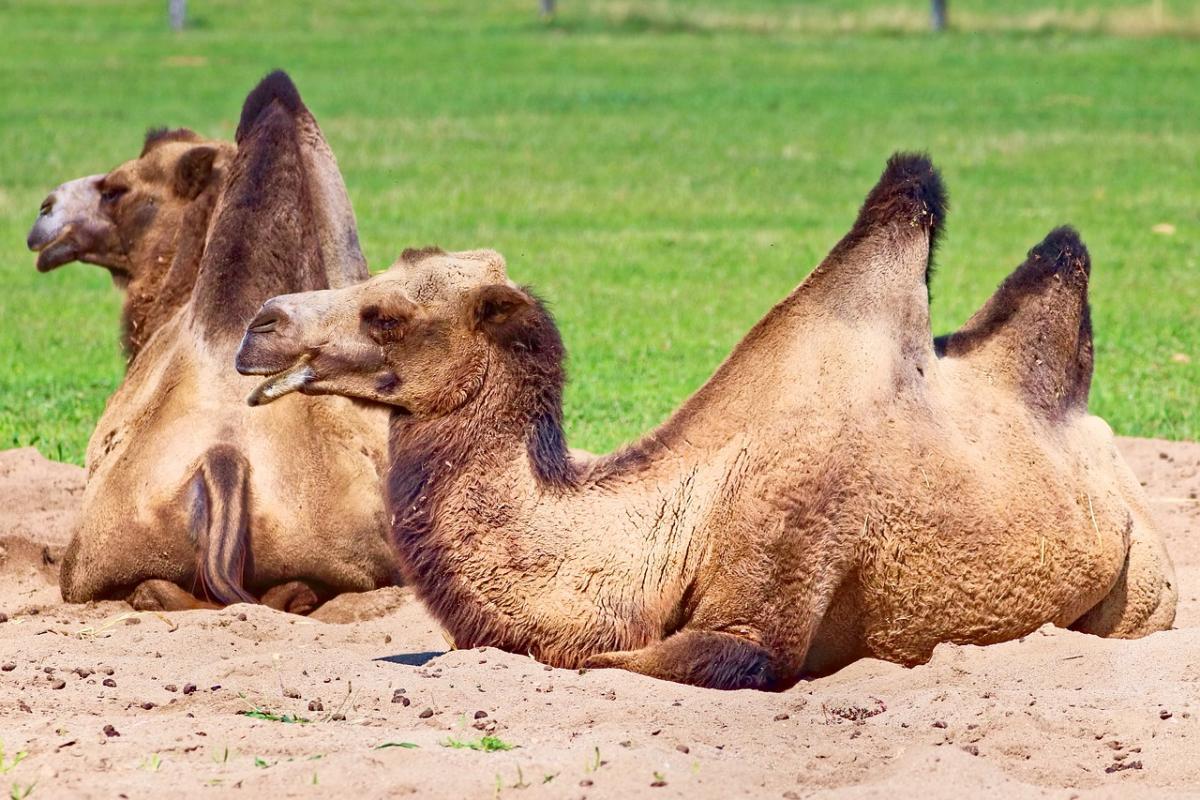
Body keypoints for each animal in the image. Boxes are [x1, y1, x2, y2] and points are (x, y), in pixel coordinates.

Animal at [238, 154, 1176, 690]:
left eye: (387, 315)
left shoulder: (770, 579)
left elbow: (658, 658)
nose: (262, 324)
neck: (664, 527)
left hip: (1146, 586)